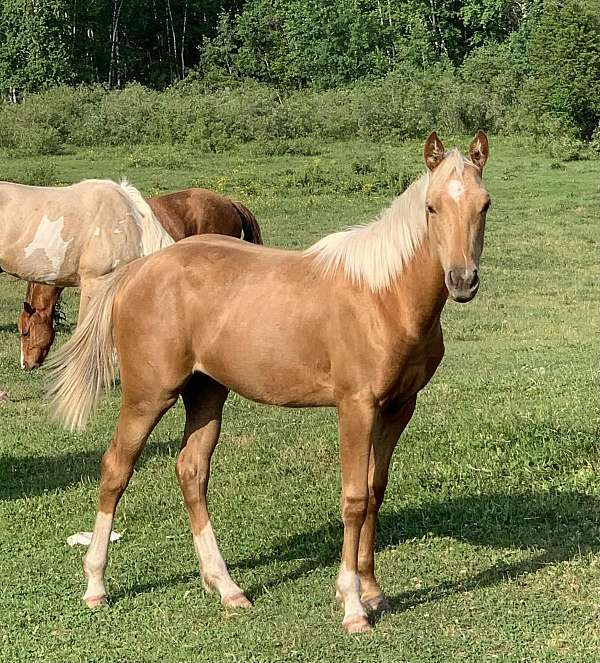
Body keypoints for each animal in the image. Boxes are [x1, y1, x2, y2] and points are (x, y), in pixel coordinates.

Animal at [45, 132, 488, 636]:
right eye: (432, 207)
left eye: (484, 205)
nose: (463, 280)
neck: (384, 297)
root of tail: (139, 270)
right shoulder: (356, 407)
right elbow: (354, 498)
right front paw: (353, 605)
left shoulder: (399, 407)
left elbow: (376, 491)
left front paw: (374, 591)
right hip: (148, 396)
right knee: (115, 469)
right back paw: (96, 585)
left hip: (206, 393)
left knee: (191, 471)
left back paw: (226, 587)